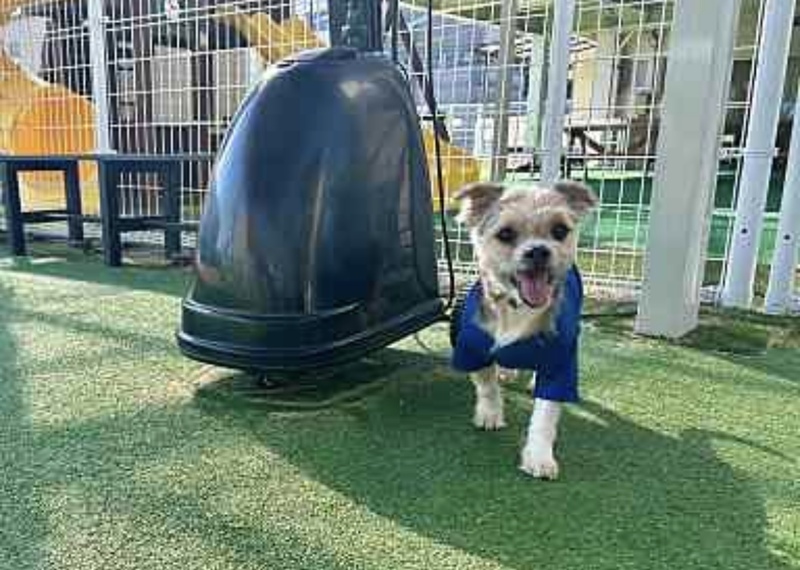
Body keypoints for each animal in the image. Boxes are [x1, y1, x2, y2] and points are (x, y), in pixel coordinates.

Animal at [451, 180, 597, 479]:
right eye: (506, 234)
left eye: (560, 231)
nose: (539, 250)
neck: (516, 307)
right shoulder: (472, 350)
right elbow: (487, 384)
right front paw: (490, 414)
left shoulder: (559, 362)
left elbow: (544, 415)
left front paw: (539, 456)